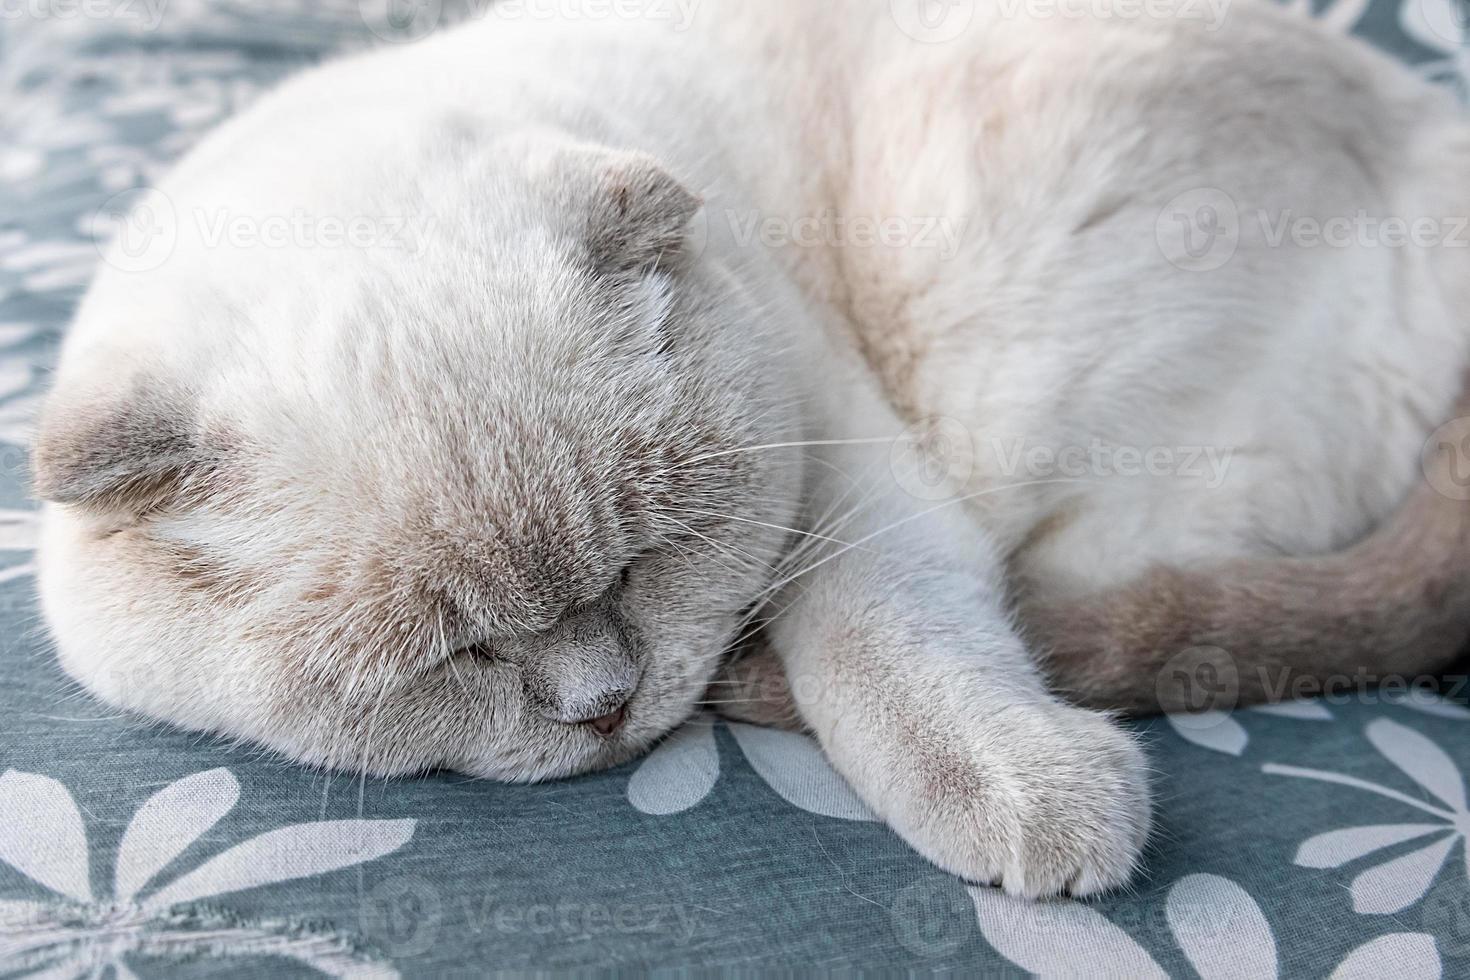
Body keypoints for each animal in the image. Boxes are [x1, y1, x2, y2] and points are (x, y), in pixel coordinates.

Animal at [31, 0, 1470, 899]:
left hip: (991, 330)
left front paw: (1026, 799)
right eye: (458, 653)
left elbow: (883, 638)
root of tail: (1436, 129)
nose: (603, 709)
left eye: (642, 564)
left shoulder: (848, 458)